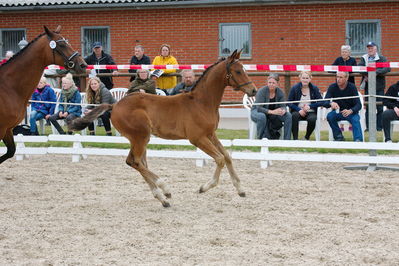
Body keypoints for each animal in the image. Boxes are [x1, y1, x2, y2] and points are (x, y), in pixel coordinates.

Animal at [0, 26, 86, 164]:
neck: (8, 86)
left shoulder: (7, 129)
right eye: (62, 45)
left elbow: (11, 151)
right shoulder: (2, 129)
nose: (83, 64)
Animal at [70, 50, 258, 208]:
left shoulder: (210, 134)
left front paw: (240, 189)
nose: (253, 90)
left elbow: (226, 156)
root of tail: (114, 105)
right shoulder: (197, 138)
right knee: (135, 162)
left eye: (243, 69)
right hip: (140, 137)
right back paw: (163, 190)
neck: (201, 102)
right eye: (238, 71)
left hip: (139, 139)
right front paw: (204, 187)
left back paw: (162, 194)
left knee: (136, 162)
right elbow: (219, 159)